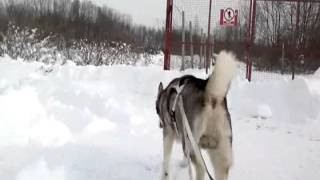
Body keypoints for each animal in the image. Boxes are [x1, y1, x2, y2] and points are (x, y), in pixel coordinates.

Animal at [156, 50, 236, 180]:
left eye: (157, 111)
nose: (159, 125)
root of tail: (210, 95)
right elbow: (185, 158)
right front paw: (184, 163)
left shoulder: (168, 133)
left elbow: (166, 160)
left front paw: (165, 175)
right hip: (219, 152)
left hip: (192, 144)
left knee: (201, 168)